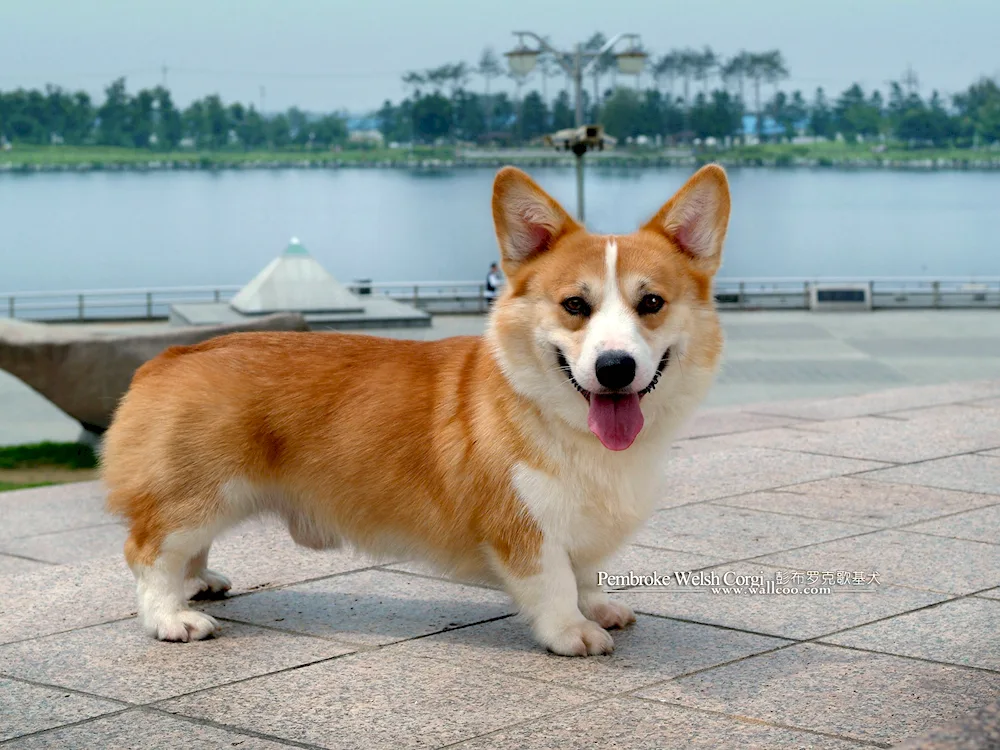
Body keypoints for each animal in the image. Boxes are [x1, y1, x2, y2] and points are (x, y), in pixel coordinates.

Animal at [99, 166, 728, 656]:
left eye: (651, 303)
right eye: (575, 305)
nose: (614, 367)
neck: (563, 418)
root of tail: (167, 358)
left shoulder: (583, 526)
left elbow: (586, 573)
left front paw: (598, 608)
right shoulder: (523, 526)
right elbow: (552, 582)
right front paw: (572, 631)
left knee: (184, 551)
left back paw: (199, 582)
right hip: (202, 494)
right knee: (148, 552)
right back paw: (172, 617)